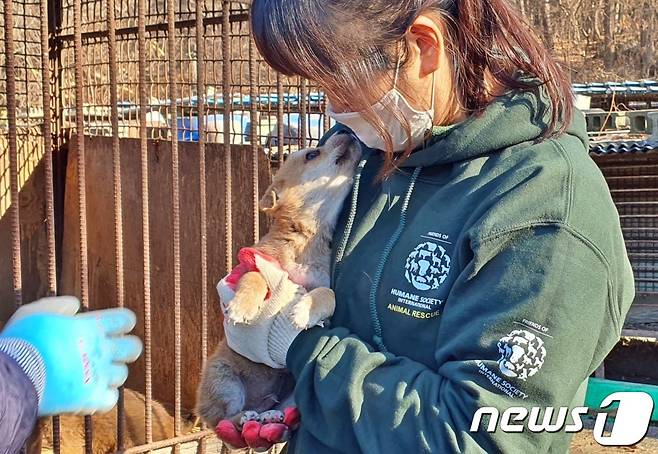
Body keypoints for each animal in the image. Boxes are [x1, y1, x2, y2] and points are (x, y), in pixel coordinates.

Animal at [196, 132, 358, 430]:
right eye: (312, 154)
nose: (349, 133)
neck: (306, 240)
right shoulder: (254, 262)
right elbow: (255, 278)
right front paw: (243, 306)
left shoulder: (324, 284)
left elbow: (327, 294)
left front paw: (305, 310)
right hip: (223, 379)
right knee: (224, 418)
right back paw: (244, 417)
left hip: (292, 393)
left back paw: (271, 415)